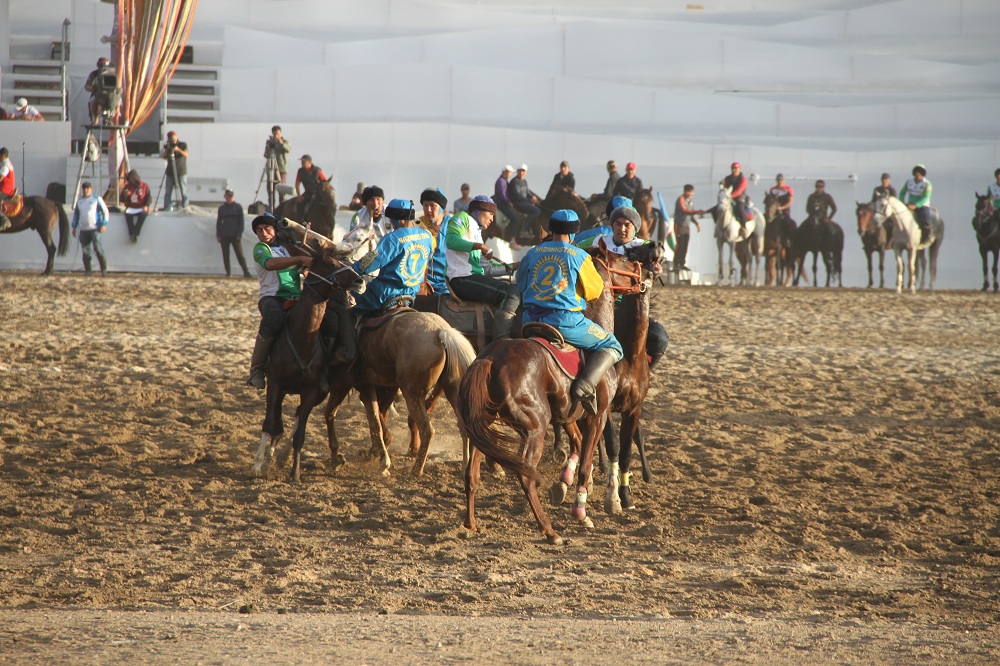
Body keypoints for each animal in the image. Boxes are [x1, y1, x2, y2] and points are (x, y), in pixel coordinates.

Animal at [250, 218, 368, 482]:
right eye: (329, 263)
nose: (360, 281)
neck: (302, 339)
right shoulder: (275, 385)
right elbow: (269, 424)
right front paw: (259, 465)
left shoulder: (312, 392)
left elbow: (299, 434)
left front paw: (295, 473)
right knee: (276, 422)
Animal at [460, 241, 648, 544]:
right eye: (620, 259)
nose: (641, 273)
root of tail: (490, 359)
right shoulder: (598, 416)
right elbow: (586, 462)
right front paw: (581, 512)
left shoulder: (570, 414)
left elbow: (577, 447)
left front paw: (564, 483)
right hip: (535, 427)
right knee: (526, 475)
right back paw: (550, 531)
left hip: (484, 425)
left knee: (471, 474)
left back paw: (470, 523)